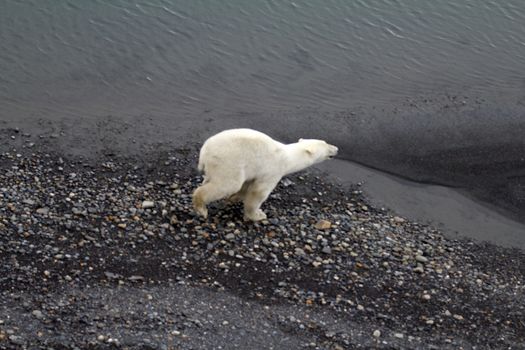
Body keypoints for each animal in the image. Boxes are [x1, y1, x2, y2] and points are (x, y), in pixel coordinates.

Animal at [190, 129, 338, 221]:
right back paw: (201, 208)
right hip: (228, 162)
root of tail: (204, 152)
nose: (336, 149)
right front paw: (258, 215)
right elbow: (258, 192)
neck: (289, 157)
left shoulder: (253, 170)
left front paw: (233, 199)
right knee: (228, 184)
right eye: (326, 144)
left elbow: (246, 186)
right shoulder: (272, 170)